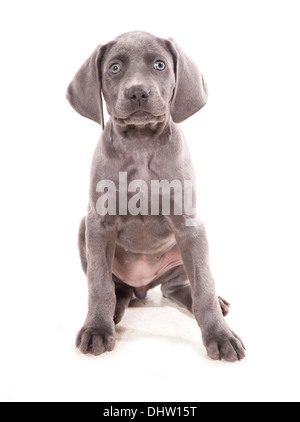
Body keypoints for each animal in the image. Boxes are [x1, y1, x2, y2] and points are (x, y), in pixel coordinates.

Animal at [67, 29, 245, 362]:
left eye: (160, 65)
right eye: (114, 68)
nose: (138, 93)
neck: (140, 143)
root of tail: (142, 286)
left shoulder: (190, 224)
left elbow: (203, 286)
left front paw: (220, 336)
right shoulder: (98, 223)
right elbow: (99, 284)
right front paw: (96, 329)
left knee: (178, 288)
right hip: (84, 228)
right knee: (118, 289)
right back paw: (113, 313)